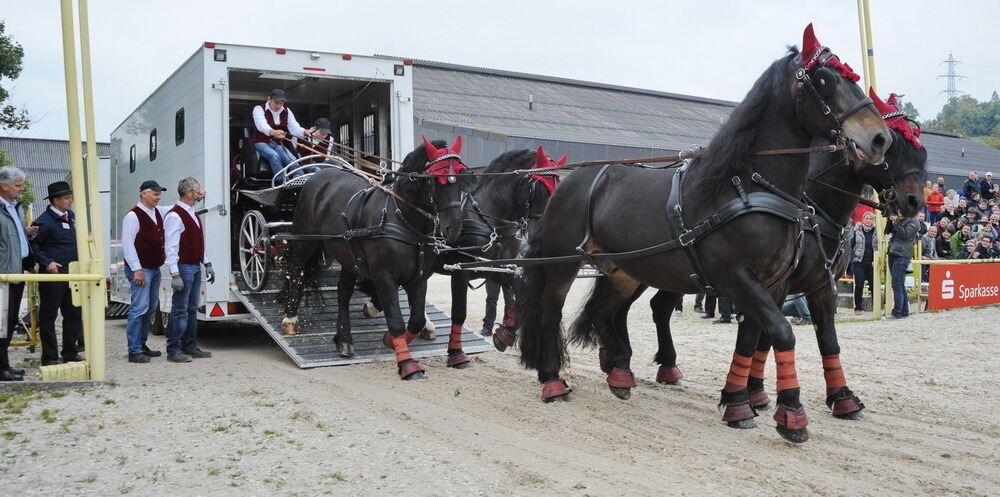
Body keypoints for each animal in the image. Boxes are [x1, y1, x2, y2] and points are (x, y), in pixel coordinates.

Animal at [278, 138, 472, 378]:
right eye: (436, 179)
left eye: (461, 177)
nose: (453, 227)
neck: (403, 219)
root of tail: (319, 175)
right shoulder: (384, 277)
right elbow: (397, 320)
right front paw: (407, 364)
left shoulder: (418, 278)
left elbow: (416, 319)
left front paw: (390, 340)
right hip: (305, 240)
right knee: (296, 270)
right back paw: (290, 318)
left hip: (349, 255)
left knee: (343, 292)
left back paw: (344, 338)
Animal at [362, 145, 568, 366]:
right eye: (538, 188)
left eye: (557, 188)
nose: (544, 234)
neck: (489, 220)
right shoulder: (460, 271)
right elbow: (459, 312)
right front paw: (456, 353)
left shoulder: (496, 268)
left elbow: (520, 294)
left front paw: (504, 335)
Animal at [516, 25, 892, 442]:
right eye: (825, 79)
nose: (880, 137)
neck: (747, 186)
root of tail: (570, 181)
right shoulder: (738, 278)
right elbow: (782, 333)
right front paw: (791, 414)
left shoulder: (772, 284)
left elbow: (754, 337)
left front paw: (740, 403)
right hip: (564, 262)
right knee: (551, 310)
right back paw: (552, 380)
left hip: (624, 270)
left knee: (606, 311)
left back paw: (619, 375)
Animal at [576, 86, 932, 426]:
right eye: (892, 148)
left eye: (921, 151)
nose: (914, 201)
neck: (812, 210)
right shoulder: (771, 286)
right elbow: (762, 338)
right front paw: (754, 395)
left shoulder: (815, 286)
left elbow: (822, 340)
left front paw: (839, 398)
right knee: (631, 308)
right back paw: (627, 362)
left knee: (639, 308)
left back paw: (634, 362)